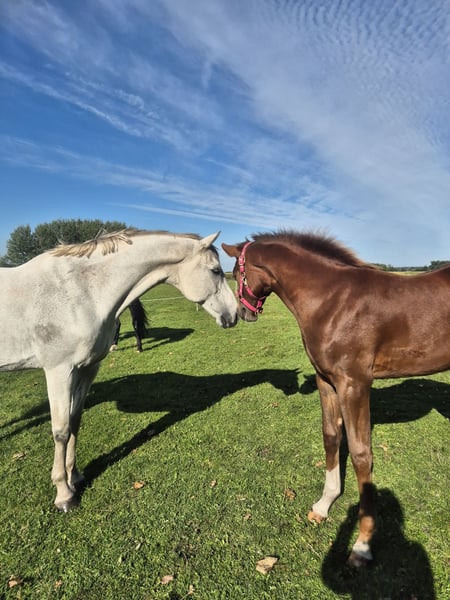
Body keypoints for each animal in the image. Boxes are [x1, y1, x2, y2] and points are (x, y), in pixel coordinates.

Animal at [0, 228, 237, 512]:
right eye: (215, 270)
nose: (235, 314)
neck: (80, 291)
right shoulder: (59, 371)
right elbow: (61, 431)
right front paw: (64, 494)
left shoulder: (86, 370)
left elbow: (75, 422)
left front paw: (75, 477)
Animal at [222, 230, 450, 568]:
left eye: (237, 273)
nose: (242, 313)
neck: (332, 302)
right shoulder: (326, 382)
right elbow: (331, 436)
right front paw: (324, 503)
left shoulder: (354, 385)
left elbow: (360, 454)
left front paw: (363, 545)